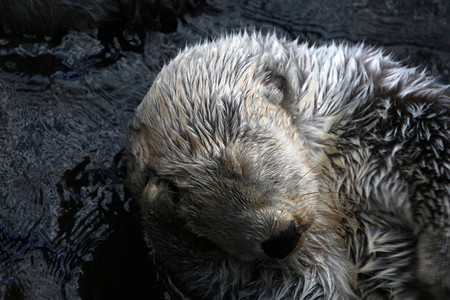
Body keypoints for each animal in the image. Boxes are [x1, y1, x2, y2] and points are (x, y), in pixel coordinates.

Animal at [125, 32, 448, 300]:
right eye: (194, 211)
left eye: (243, 164)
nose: (281, 239)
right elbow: (296, 287)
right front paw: (157, 205)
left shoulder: (392, 112)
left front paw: (436, 267)